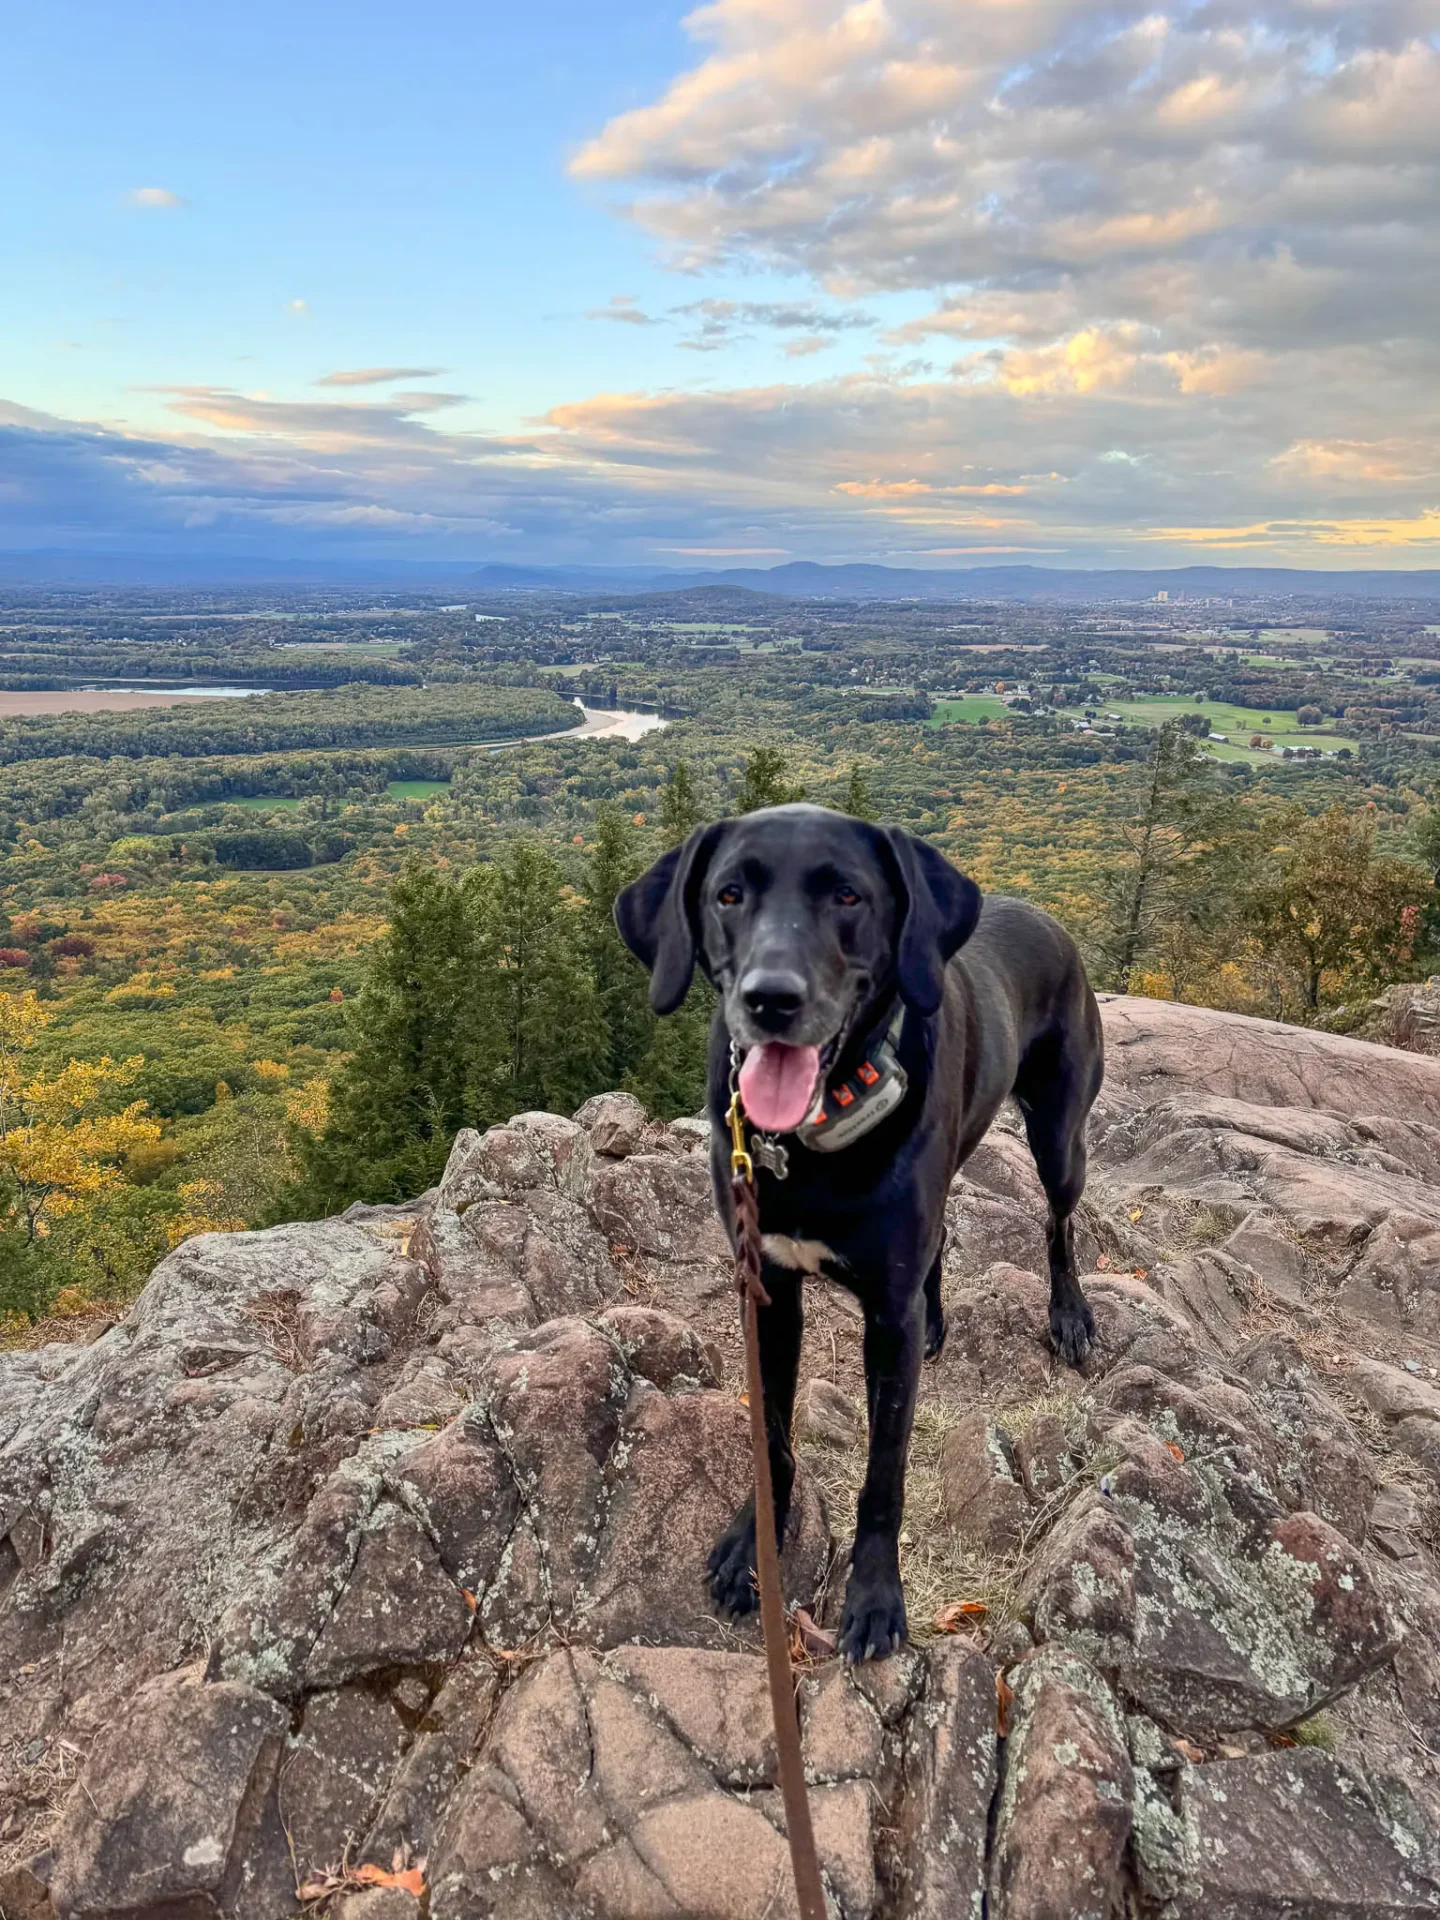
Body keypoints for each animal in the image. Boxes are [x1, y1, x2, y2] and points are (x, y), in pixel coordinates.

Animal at [610, 802, 1105, 1658]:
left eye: (847, 896)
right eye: (728, 894)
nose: (771, 999)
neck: (810, 1138)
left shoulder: (885, 1324)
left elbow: (884, 1472)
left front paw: (874, 1597)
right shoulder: (769, 1292)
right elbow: (774, 1435)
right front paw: (753, 1546)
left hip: (1059, 1139)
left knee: (1059, 1222)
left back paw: (1068, 1313)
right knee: (944, 1235)